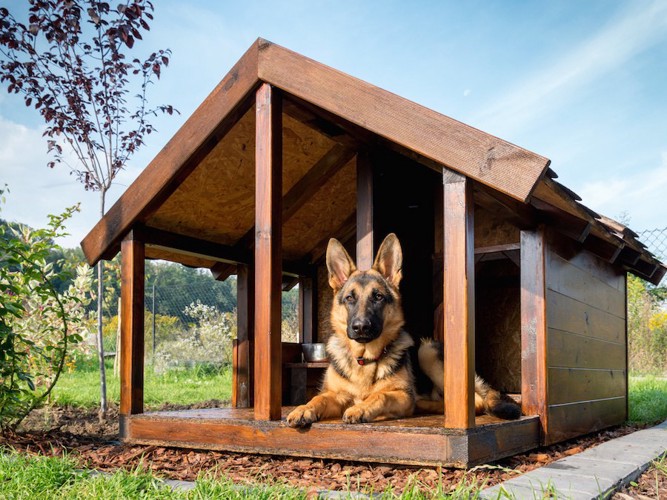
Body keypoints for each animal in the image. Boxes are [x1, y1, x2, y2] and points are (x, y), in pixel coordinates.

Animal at [288, 233, 418, 426]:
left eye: (378, 297)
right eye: (350, 298)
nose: (361, 327)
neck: (363, 359)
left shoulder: (405, 396)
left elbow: (381, 395)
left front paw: (360, 408)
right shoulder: (336, 395)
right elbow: (319, 398)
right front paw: (303, 408)